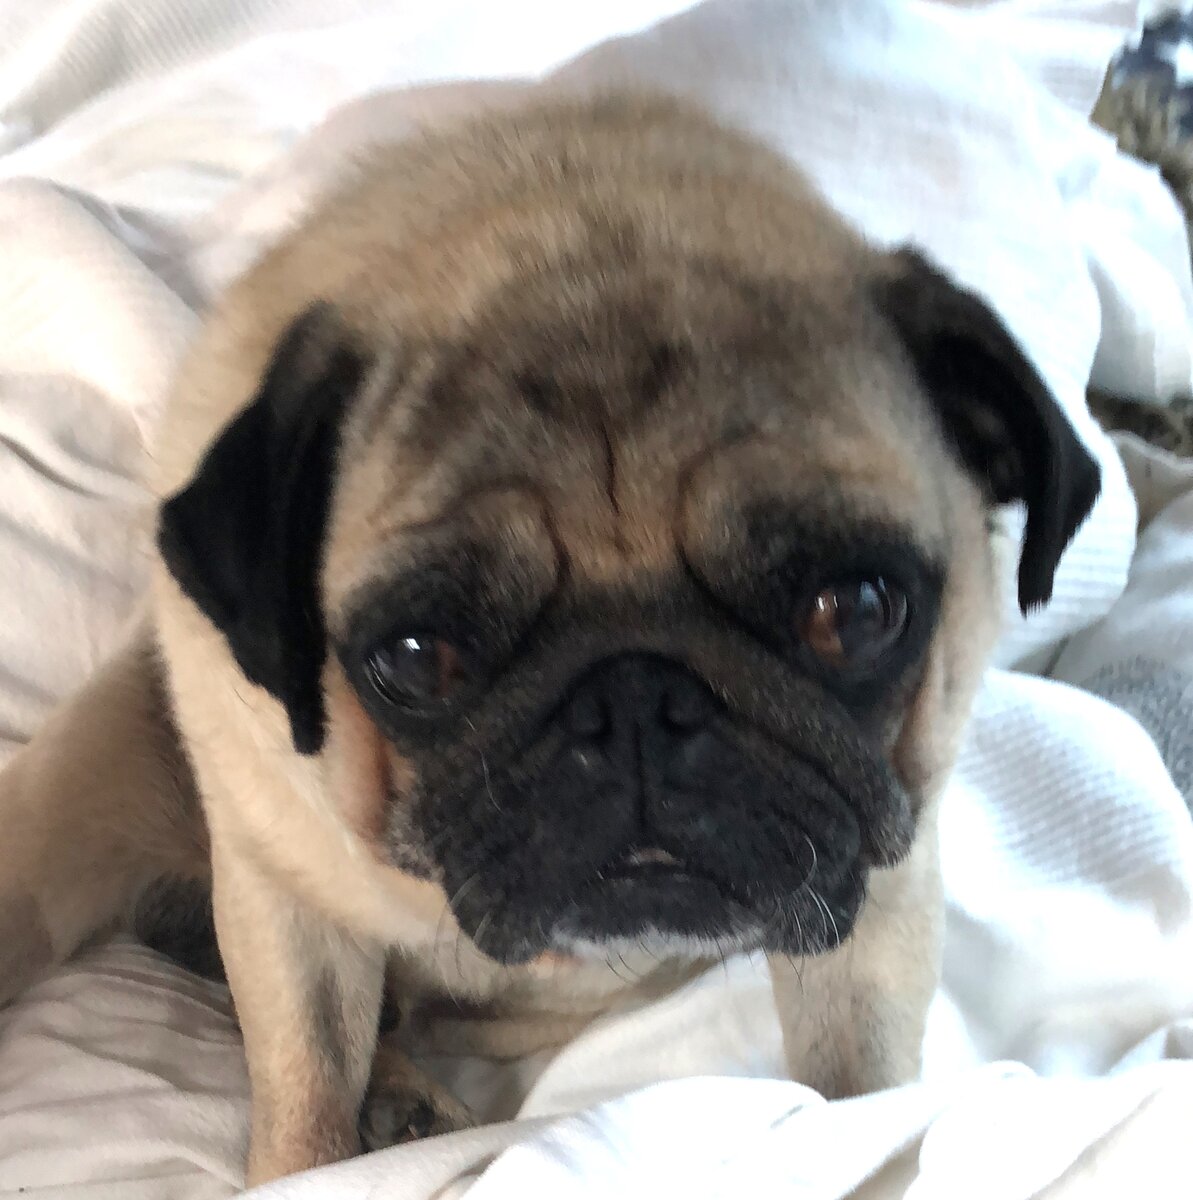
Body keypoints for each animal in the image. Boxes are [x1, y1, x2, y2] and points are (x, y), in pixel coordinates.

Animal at [0, 93, 1099, 1185]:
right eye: (417, 658)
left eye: (854, 612)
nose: (638, 699)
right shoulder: (286, 905)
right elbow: (307, 1091)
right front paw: (316, 1157)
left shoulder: (873, 884)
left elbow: (860, 1086)